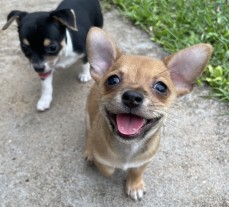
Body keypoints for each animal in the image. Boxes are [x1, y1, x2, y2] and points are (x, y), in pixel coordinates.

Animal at [83, 27, 213, 201]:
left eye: (161, 87)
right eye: (112, 80)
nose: (132, 96)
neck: (129, 147)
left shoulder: (144, 161)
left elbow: (137, 171)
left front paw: (134, 185)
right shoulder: (103, 159)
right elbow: (107, 169)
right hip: (87, 120)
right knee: (88, 135)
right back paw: (88, 151)